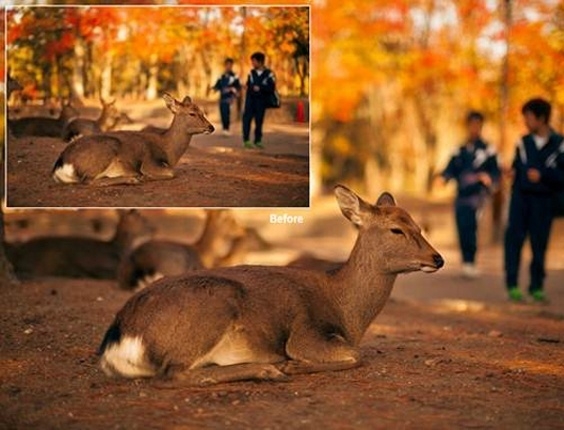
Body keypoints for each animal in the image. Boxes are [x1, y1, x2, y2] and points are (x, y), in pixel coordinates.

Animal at [51, 95, 214, 186]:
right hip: (107, 149)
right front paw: (145, 177)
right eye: (192, 113)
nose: (211, 127)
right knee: (88, 181)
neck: (169, 150)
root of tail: (61, 165)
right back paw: (133, 179)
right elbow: (172, 172)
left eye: (202, 112)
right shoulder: (149, 162)